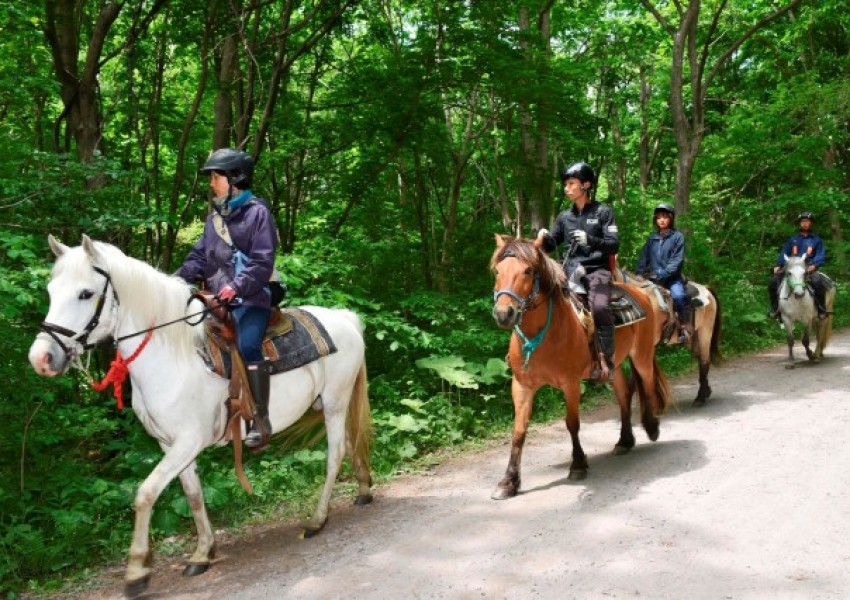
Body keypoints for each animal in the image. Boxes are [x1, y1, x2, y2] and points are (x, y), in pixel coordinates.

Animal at [27, 234, 372, 596]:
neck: (173, 354)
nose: (41, 358)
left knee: (335, 454)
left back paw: (317, 520)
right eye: (51, 290)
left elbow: (145, 494)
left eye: (85, 293)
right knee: (351, 442)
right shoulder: (170, 445)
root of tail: (343, 317)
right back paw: (364, 490)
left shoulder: (188, 442)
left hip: (334, 403)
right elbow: (193, 495)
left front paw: (137, 571)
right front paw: (203, 553)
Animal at [486, 237, 672, 500]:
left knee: (646, 385)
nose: (504, 314)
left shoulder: (571, 384)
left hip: (642, 355)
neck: (544, 333)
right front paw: (508, 481)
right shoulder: (521, 386)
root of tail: (641, 292)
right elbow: (519, 431)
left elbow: (572, 423)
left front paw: (578, 464)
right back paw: (624, 440)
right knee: (624, 395)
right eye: (498, 271)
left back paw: (652, 427)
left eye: (528, 271)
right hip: (614, 366)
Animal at [620, 274, 720, 408]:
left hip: (705, 332)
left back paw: (700, 398)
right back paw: (706, 391)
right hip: (692, 339)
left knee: (704, 360)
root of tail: (706, 288)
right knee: (700, 358)